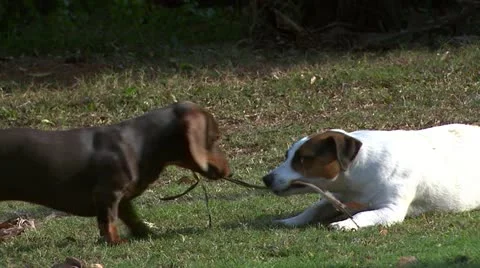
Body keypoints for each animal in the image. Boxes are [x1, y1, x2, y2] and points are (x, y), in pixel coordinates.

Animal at [260, 123, 480, 230]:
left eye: (303, 159)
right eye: (287, 155)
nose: (266, 179)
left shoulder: (390, 210)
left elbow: (364, 215)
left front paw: (346, 224)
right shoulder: (336, 198)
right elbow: (312, 210)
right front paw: (290, 221)